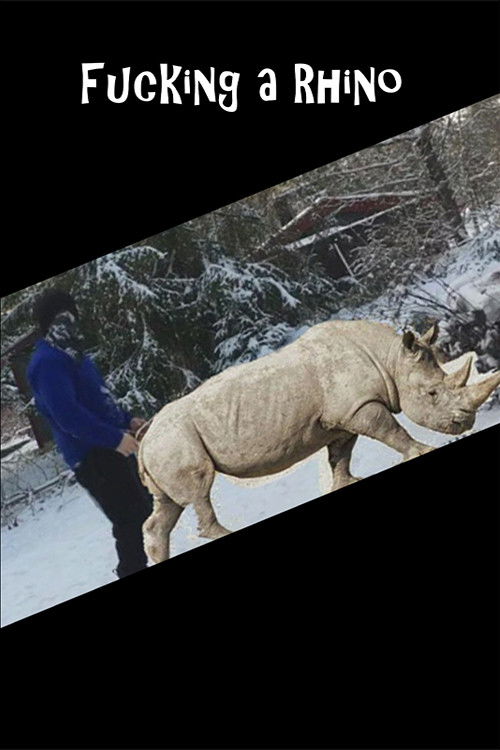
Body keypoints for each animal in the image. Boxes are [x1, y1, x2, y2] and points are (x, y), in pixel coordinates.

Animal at [138, 319, 500, 564]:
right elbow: (392, 432)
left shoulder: (341, 418)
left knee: (168, 506)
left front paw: (347, 482)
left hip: (165, 445)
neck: (389, 359)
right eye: (432, 394)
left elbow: (341, 456)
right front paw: (424, 451)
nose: (465, 424)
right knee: (198, 489)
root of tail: (142, 440)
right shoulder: (359, 406)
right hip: (173, 440)